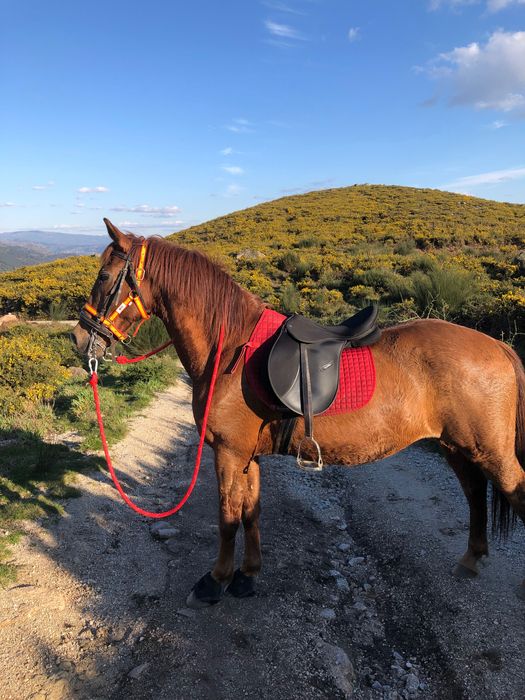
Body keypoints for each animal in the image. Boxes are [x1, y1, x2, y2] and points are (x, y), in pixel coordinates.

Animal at [71, 219, 525, 606]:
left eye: (104, 277)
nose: (78, 339)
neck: (230, 346)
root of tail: (498, 346)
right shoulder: (247, 457)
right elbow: (251, 512)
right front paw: (247, 575)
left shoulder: (228, 454)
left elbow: (227, 517)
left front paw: (216, 581)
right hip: (458, 448)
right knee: (475, 495)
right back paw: (470, 560)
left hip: (490, 452)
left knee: (511, 491)